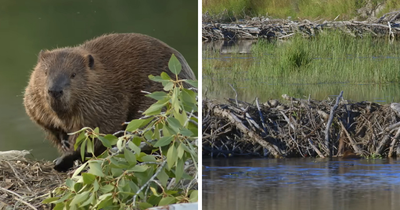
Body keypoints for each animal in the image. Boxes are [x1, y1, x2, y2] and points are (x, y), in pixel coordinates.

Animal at [23, 32, 195, 171]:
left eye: (73, 74)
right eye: (45, 72)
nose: (55, 90)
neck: (101, 76)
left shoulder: (108, 101)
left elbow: (101, 131)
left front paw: (66, 156)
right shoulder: (35, 102)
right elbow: (47, 124)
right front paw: (63, 141)